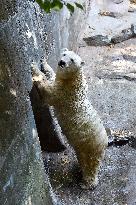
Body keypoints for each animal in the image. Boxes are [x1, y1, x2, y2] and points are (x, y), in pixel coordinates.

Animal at [31, 49, 108, 189]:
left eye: (72, 60)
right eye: (64, 54)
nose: (61, 62)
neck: (75, 81)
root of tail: (105, 142)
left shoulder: (64, 93)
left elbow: (49, 92)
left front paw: (34, 68)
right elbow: (52, 77)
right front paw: (44, 62)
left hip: (91, 145)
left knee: (91, 165)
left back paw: (87, 184)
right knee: (82, 159)